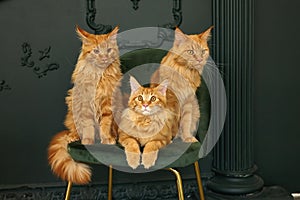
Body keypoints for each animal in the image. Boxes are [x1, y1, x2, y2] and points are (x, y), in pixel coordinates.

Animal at [47, 26, 122, 184]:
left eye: (109, 50)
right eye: (96, 51)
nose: (104, 57)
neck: (99, 75)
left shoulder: (107, 104)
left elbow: (105, 125)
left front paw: (107, 139)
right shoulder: (85, 104)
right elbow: (87, 126)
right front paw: (88, 141)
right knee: (74, 129)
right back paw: (73, 136)